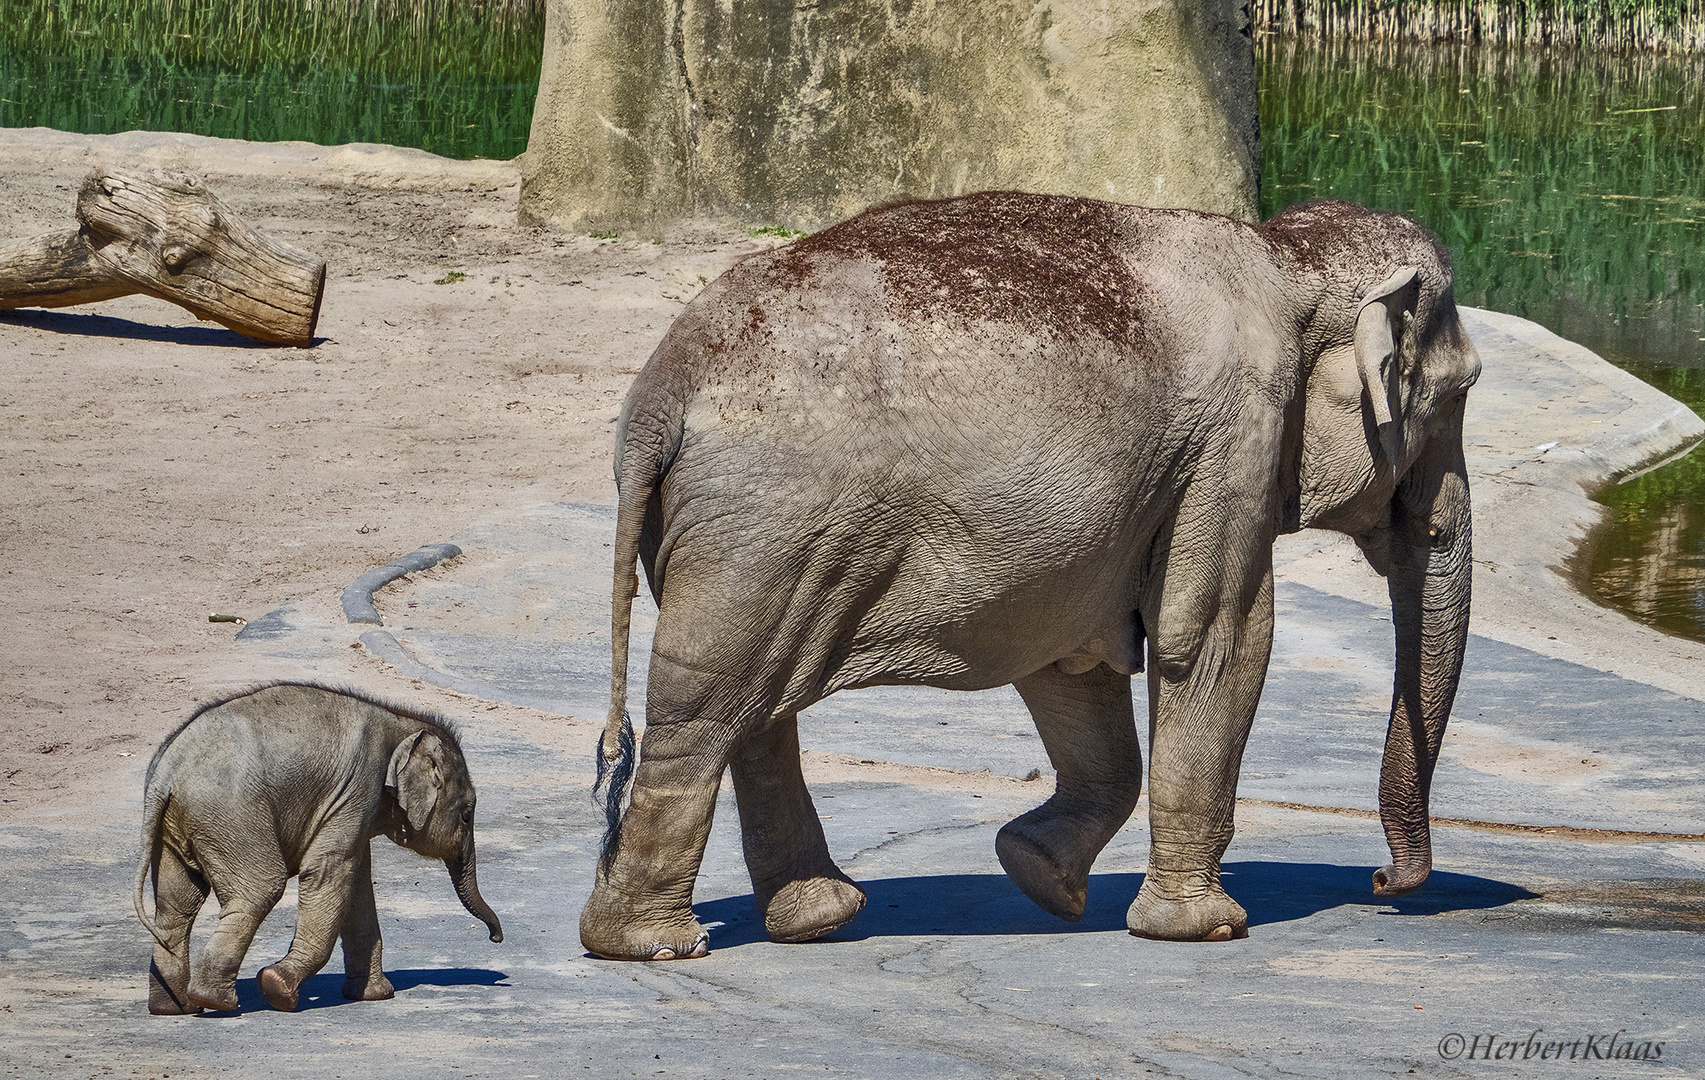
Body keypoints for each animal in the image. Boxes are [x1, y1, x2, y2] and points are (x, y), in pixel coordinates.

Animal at [132, 682, 497, 1010]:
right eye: (467, 815)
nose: (496, 938)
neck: (400, 720)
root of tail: (167, 772)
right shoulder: (357, 788)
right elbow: (328, 871)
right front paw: (277, 988)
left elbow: (356, 883)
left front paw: (374, 995)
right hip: (231, 816)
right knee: (259, 889)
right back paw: (217, 1002)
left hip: (178, 826)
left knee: (175, 906)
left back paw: (174, 1007)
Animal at [583, 193, 1479, 962]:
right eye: (1459, 393)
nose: (1382, 882)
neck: (1286, 256)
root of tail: (661, 392)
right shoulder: (1235, 437)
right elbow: (1216, 640)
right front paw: (1207, 929)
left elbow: (1071, 653)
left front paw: (1040, 879)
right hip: (764, 524)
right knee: (710, 707)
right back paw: (653, 943)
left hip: (742, 534)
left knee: (750, 706)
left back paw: (811, 918)